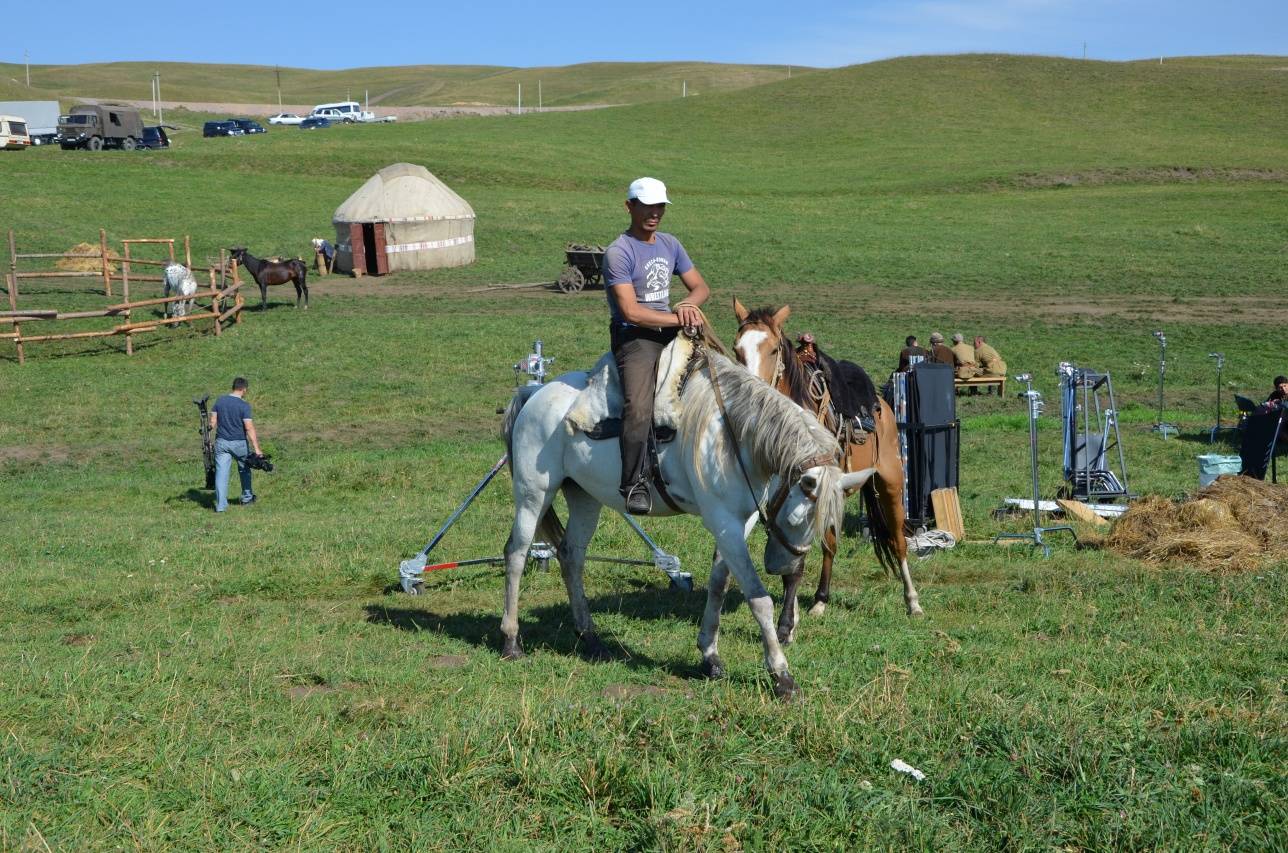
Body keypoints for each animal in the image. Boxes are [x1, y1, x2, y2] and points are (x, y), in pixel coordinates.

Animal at [499, 342, 875, 700]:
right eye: (797, 517)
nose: (785, 568)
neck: (734, 435)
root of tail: (534, 394)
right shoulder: (724, 521)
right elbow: (758, 599)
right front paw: (781, 676)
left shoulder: (740, 521)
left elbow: (719, 584)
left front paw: (710, 656)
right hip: (534, 493)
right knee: (516, 553)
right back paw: (511, 641)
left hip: (584, 496)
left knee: (572, 556)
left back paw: (590, 639)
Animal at [731, 297, 922, 639]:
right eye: (736, 348)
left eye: (772, 350)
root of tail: (883, 406)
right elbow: (791, 550)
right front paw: (792, 619)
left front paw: (787, 624)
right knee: (830, 545)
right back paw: (820, 600)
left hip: (890, 482)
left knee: (898, 542)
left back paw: (912, 601)